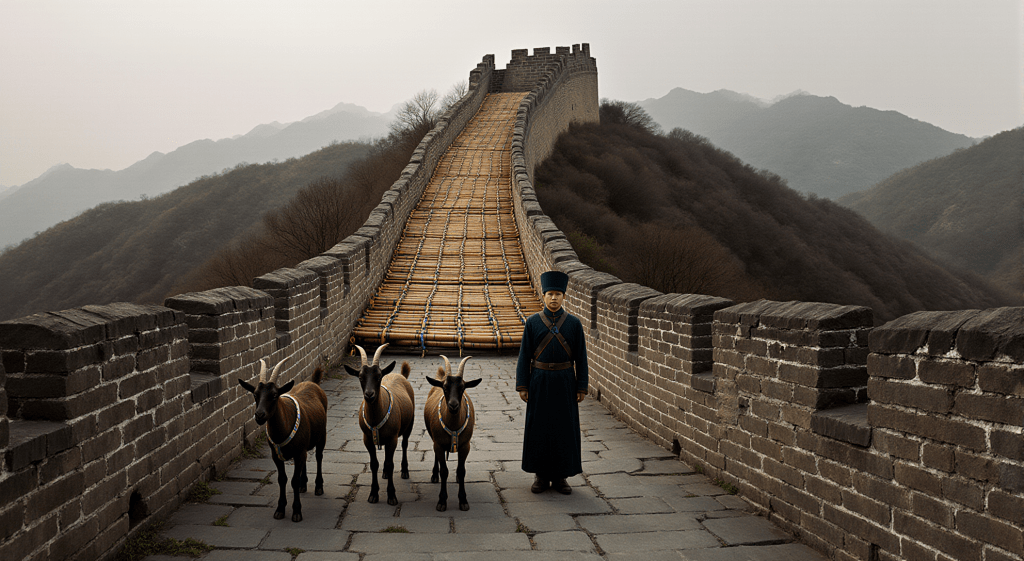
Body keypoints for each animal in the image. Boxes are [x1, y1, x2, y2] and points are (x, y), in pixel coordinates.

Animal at [238, 358, 328, 522]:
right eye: (255, 394)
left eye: (274, 395)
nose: (259, 415)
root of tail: (313, 383)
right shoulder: (276, 455)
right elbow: (282, 479)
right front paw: (280, 509)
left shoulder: (298, 452)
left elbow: (294, 480)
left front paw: (296, 512)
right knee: (306, 460)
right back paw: (304, 485)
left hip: (322, 436)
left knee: (319, 457)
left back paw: (318, 487)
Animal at [345, 343, 415, 505]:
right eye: (360, 377)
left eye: (378, 376)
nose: (369, 394)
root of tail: (400, 374)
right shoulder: (367, 439)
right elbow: (374, 464)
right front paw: (373, 494)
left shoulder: (392, 439)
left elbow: (390, 464)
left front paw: (392, 496)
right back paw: (384, 473)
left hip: (409, 424)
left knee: (405, 445)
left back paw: (404, 471)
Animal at [424, 355, 481, 511]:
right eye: (445, 387)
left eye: (462, 387)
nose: (453, 405)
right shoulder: (438, 444)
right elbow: (444, 471)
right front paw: (442, 501)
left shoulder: (465, 446)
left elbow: (461, 471)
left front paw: (463, 501)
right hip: (435, 440)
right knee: (437, 458)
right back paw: (434, 475)